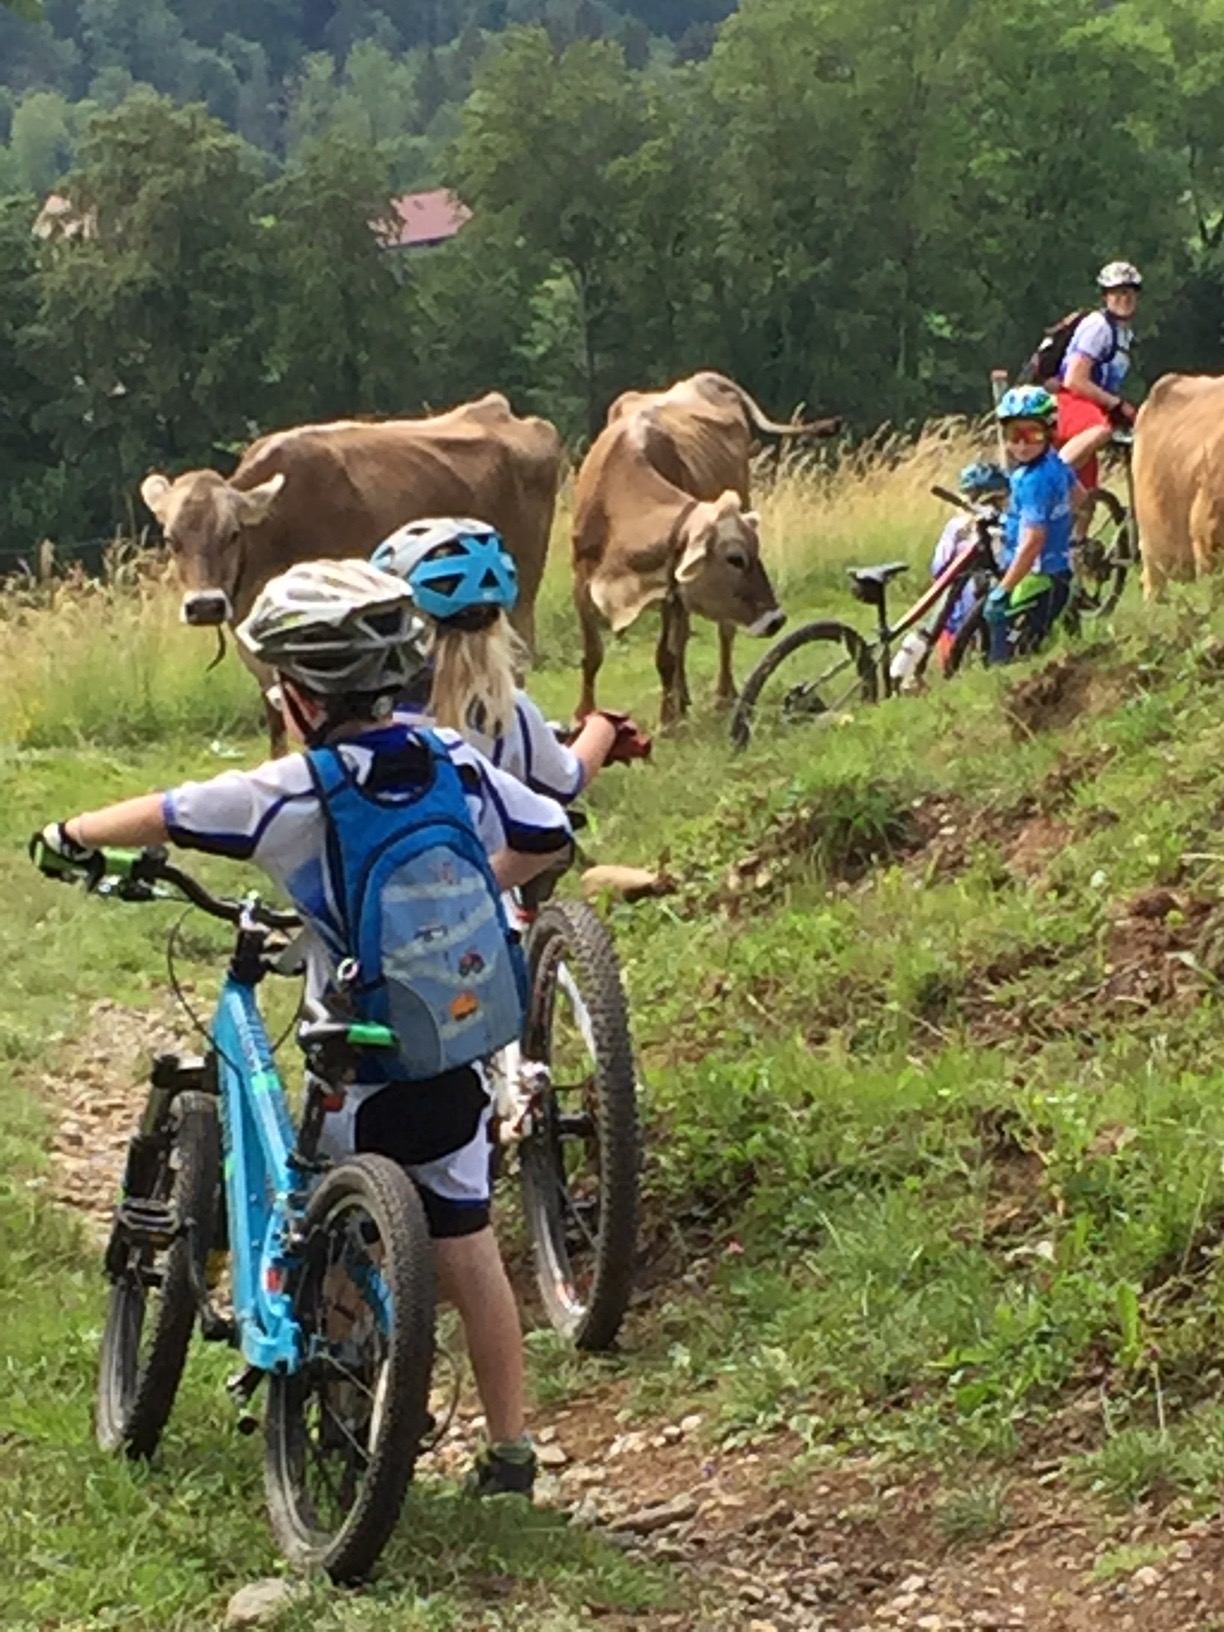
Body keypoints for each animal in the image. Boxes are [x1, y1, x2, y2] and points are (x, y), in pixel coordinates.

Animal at [574, 375, 842, 727]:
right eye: (735, 559)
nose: (776, 619)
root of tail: (705, 378)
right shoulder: (581, 576)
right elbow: (592, 654)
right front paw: (583, 716)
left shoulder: (672, 588)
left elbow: (666, 654)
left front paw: (668, 721)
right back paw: (684, 698)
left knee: (718, 633)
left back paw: (721, 695)